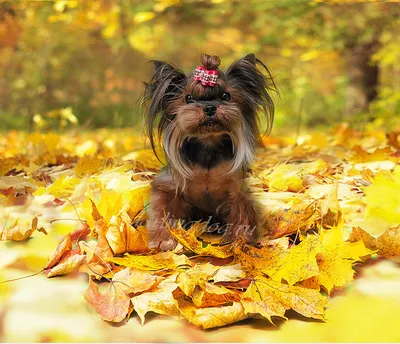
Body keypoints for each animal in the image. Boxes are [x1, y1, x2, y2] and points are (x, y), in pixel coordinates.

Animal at [143, 53, 276, 250]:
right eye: (188, 98)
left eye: (226, 95)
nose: (210, 107)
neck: (208, 144)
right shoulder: (169, 187)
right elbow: (163, 212)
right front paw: (164, 240)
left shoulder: (237, 188)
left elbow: (242, 212)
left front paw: (241, 240)